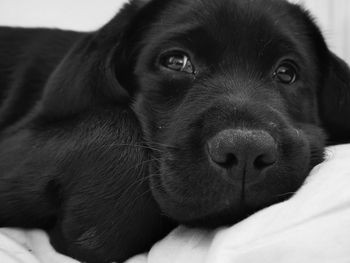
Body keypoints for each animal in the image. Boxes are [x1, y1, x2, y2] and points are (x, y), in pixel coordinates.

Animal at [0, 0, 348, 262]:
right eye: (176, 61)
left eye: (287, 72)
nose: (245, 150)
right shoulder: (19, 141)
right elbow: (119, 130)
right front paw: (92, 230)